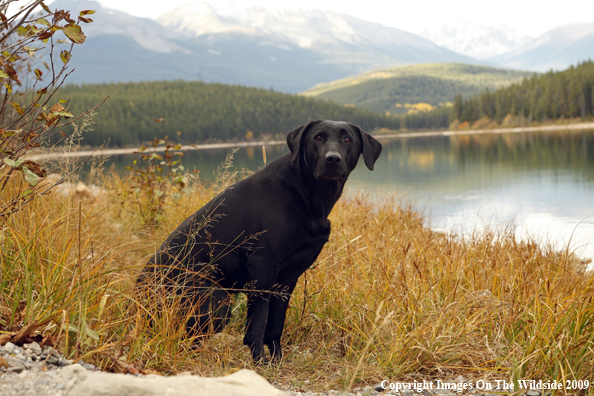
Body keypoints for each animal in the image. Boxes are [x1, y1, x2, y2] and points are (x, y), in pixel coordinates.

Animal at [138, 120, 380, 362]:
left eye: (347, 139)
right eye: (318, 138)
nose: (333, 159)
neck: (308, 195)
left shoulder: (287, 279)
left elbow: (274, 325)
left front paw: (276, 359)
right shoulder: (263, 269)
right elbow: (258, 324)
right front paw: (259, 361)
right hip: (216, 300)